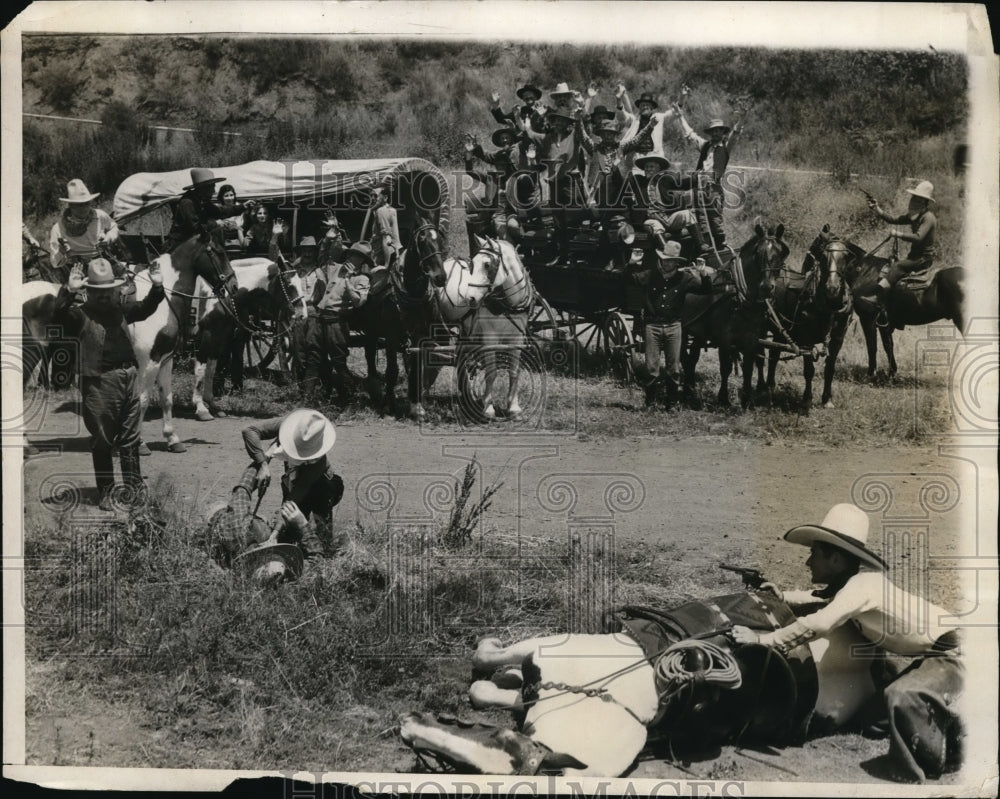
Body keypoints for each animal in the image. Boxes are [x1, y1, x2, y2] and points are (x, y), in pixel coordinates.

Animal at [190, 258, 306, 422]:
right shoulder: (207, 336)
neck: (222, 296)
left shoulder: (219, 337)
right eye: (289, 284)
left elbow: (211, 369)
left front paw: (213, 405)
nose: (302, 314)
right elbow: (201, 370)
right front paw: (200, 407)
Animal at [396, 592, 876, 780]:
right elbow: (488, 676)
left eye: (491, 736)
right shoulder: (544, 656)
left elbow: (485, 670)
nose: (407, 724)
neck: (597, 702)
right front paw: (501, 671)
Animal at [436, 236, 536, 422]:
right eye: (473, 264)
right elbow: (491, 372)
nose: (470, 298)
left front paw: (514, 408)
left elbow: (514, 371)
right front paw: (488, 408)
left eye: (487, 265)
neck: (508, 305)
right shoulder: (490, 338)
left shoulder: (517, 338)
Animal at [760, 227, 856, 410]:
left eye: (846, 256)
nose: (832, 288)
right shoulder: (807, 338)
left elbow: (830, 368)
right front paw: (807, 399)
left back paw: (769, 386)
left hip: (779, 331)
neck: (829, 306)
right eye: (823, 256)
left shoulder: (838, 337)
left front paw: (827, 399)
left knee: (774, 355)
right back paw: (760, 387)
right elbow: (809, 370)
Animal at [804, 225, 968, 376]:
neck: (864, 270)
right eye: (824, 253)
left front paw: (872, 373)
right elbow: (888, 344)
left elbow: (872, 345)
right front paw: (891, 371)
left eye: (816, 243)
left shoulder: (868, 318)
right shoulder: (884, 321)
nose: (804, 265)